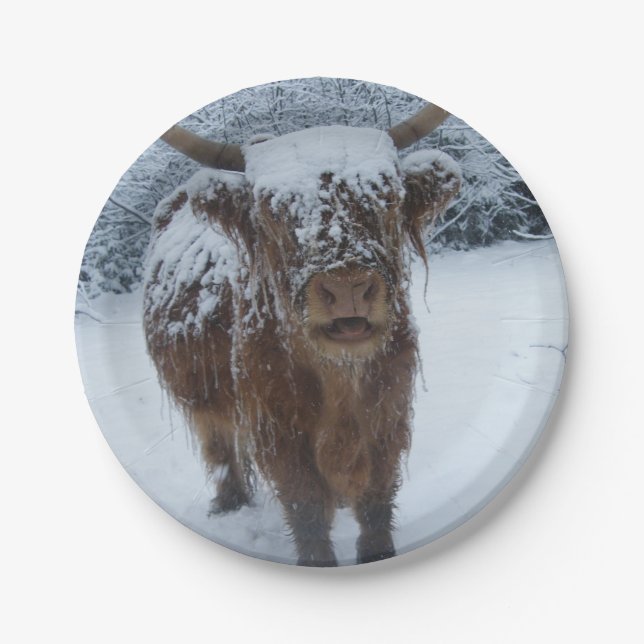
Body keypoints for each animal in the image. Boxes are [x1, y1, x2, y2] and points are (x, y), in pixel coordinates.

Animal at [143, 103, 461, 566]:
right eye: (271, 211)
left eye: (387, 197)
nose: (347, 287)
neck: (338, 378)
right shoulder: (277, 428)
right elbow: (305, 506)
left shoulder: (389, 409)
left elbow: (376, 497)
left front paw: (377, 552)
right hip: (201, 396)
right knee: (219, 444)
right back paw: (228, 503)